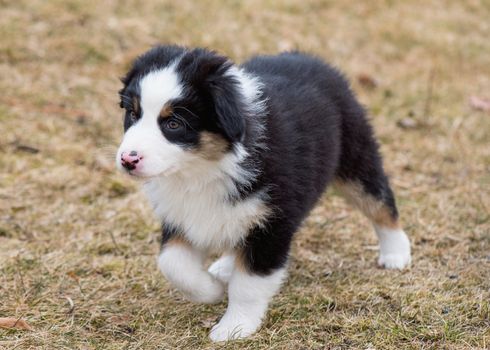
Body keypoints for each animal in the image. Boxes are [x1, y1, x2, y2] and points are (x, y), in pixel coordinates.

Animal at [117, 45, 412, 342]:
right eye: (133, 114)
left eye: (174, 124)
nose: (127, 160)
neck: (202, 169)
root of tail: (308, 57)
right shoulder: (181, 215)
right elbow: (172, 264)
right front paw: (212, 290)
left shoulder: (272, 222)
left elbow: (249, 284)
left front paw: (234, 327)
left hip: (355, 158)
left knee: (381, 203)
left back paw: (396, 254)